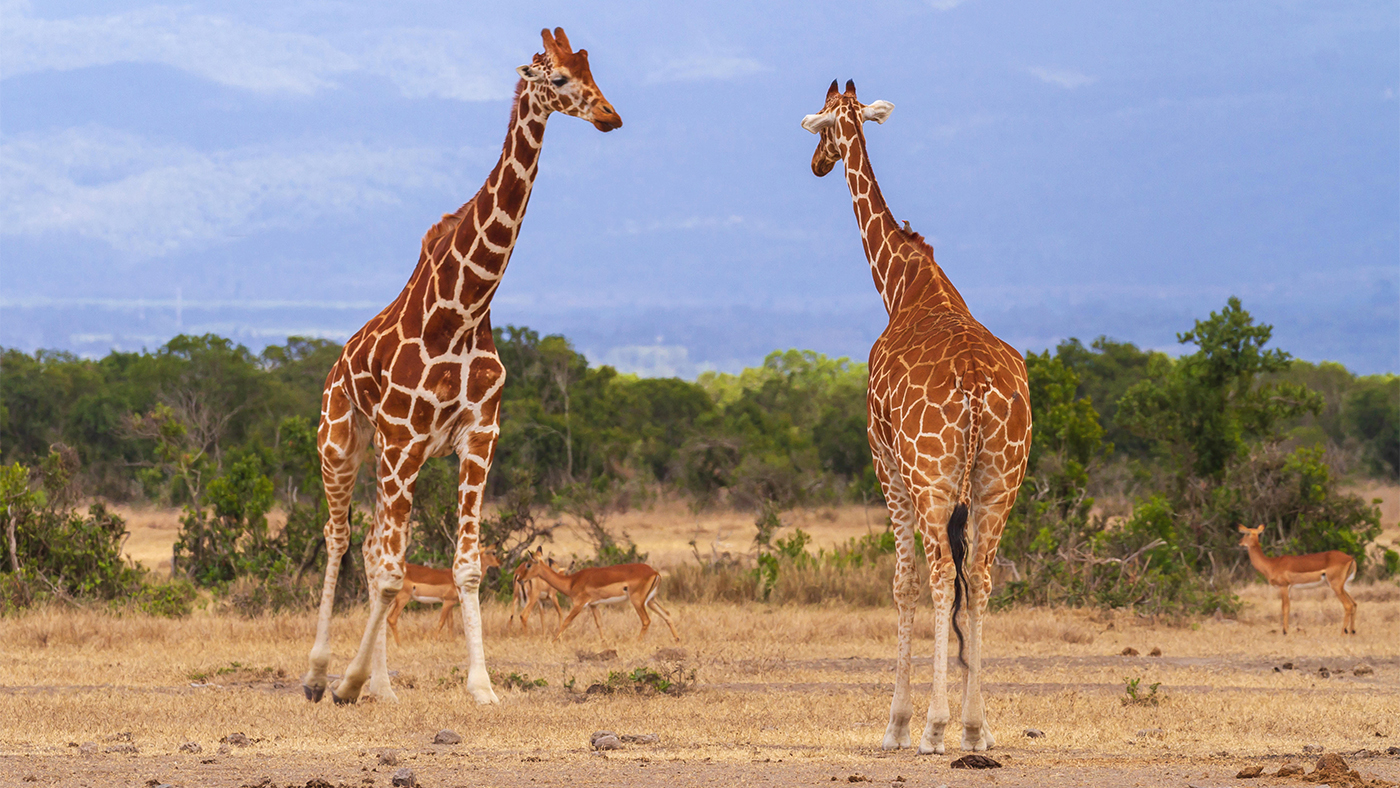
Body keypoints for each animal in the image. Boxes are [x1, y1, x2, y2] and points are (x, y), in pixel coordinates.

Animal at [302, 29, 624, 708]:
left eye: (593, 72)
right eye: (558, 79)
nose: (611, 116)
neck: (466, 308)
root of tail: (338, 363)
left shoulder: (478, 436)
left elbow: (466, 566)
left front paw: (481, 686)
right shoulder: (403, 439)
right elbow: (393, 572)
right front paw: (346, 681)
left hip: (391, 458)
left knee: (369, 547)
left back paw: (383, 686)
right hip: (343, 444)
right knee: (341, 539)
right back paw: (321, 675)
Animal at [800, 81, 1030, 755]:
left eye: (821, 123)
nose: (816, 164)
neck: (905, 285)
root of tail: (977, 386)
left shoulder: (885, 461)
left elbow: (900, 583)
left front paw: (896, 725)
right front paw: (969, 725)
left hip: (932, 479)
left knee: (938, 576)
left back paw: (933, 728)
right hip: (1000, 481)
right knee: (980, 579)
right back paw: (977, 728)